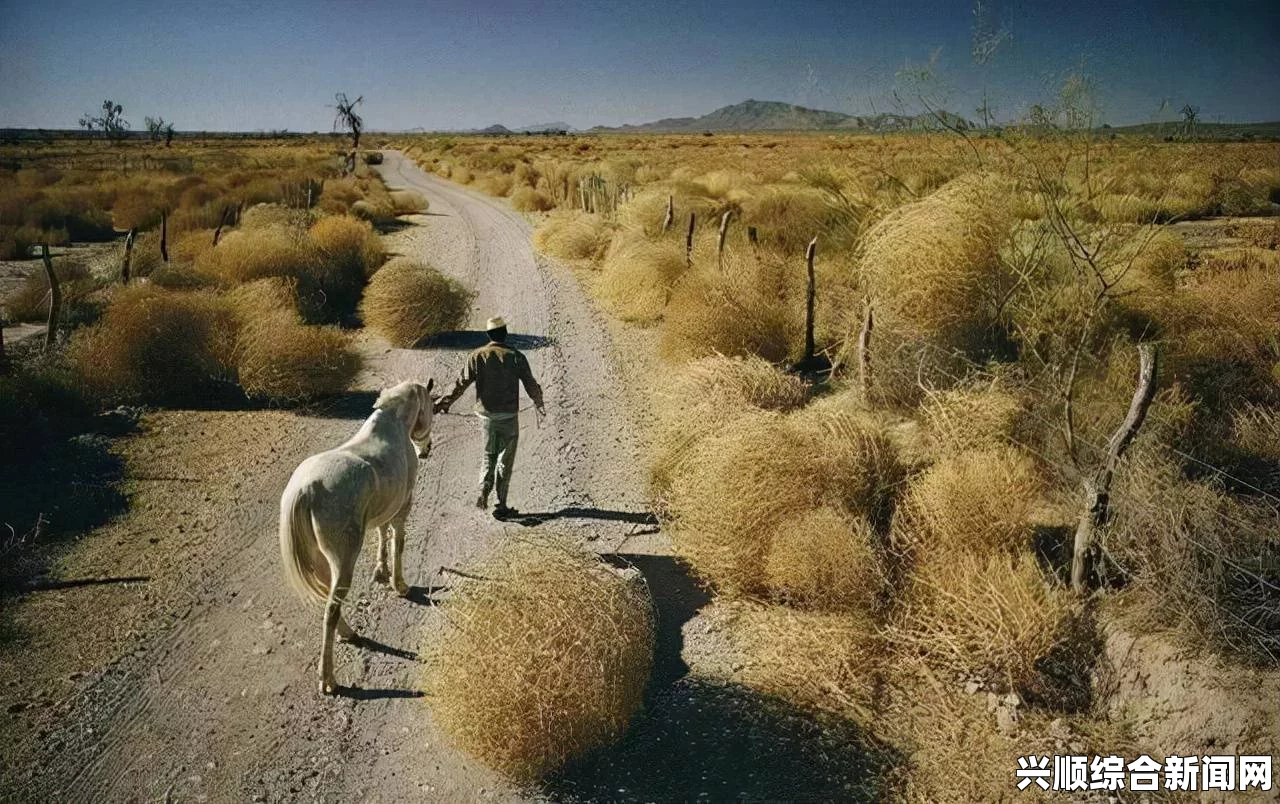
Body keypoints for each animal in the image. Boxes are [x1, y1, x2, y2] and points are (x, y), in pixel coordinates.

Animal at [275, 378, 435, 696]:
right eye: (432, 408)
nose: (426, 448)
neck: (394, 426)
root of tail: (307, 488)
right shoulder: (403, 506)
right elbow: (399, 542)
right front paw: (399, 585)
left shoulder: (383, 512)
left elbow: (382, 535)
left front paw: (381, 572)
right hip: (344, 558)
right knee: (331, 609)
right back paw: (328, 679)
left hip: (320, 559)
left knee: (328, 597)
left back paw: (348, 633)